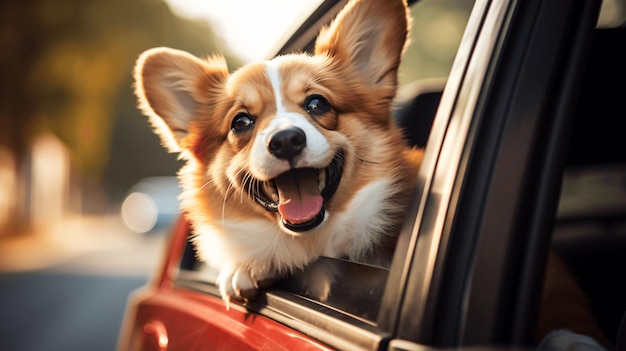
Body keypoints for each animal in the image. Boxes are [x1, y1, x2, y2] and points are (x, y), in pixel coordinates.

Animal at [132, 0, 604, 350]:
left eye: (318, 104)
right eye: (241, 122)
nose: (286, 141)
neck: (322, 242)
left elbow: (564, 325)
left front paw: (571, 341)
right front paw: (248, 267)